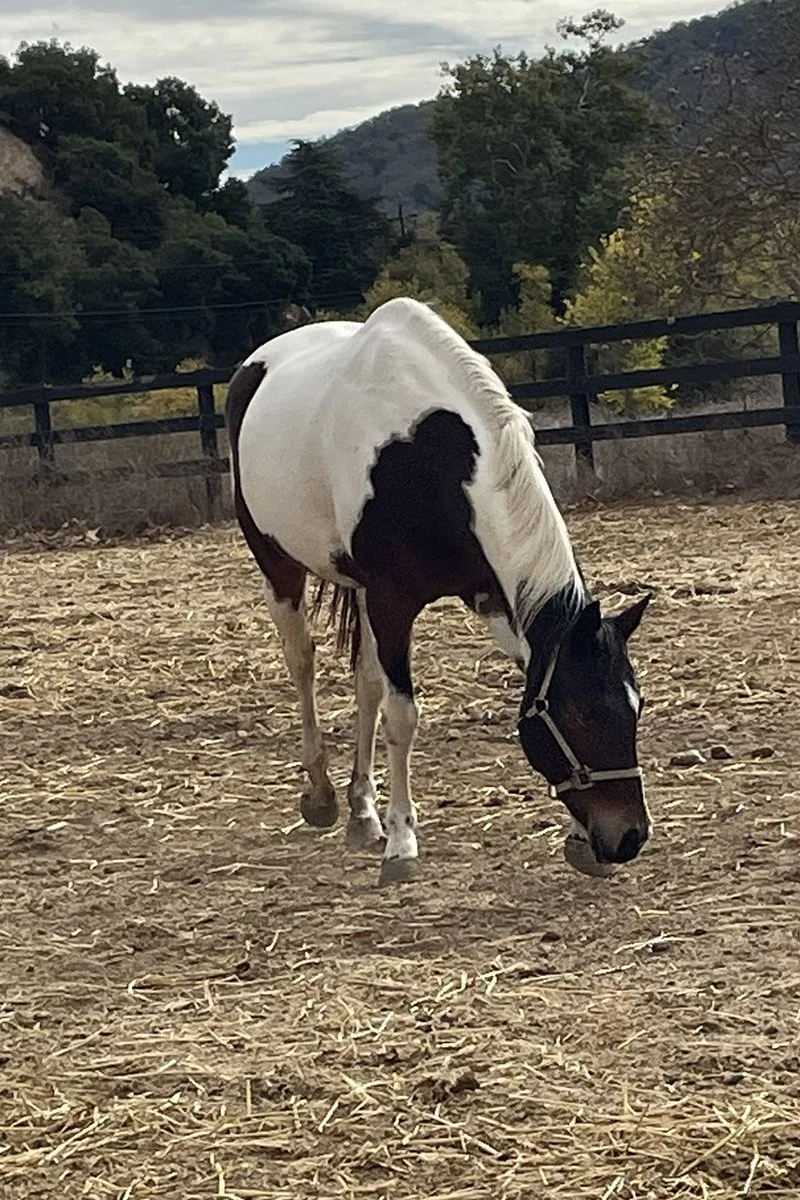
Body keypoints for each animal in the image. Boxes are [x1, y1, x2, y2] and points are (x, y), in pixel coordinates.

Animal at [226, 297, 652, 885]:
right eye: (584, 714)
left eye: (636, 705)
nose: (628, 837)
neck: (426, 456)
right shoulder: (393, 601)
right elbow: (403, 718)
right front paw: (402, 843)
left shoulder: (491, 596)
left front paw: (576, 836)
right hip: (278, 565)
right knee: (302, 661)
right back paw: (323, 794)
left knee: (365, 683)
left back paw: (362, 811)